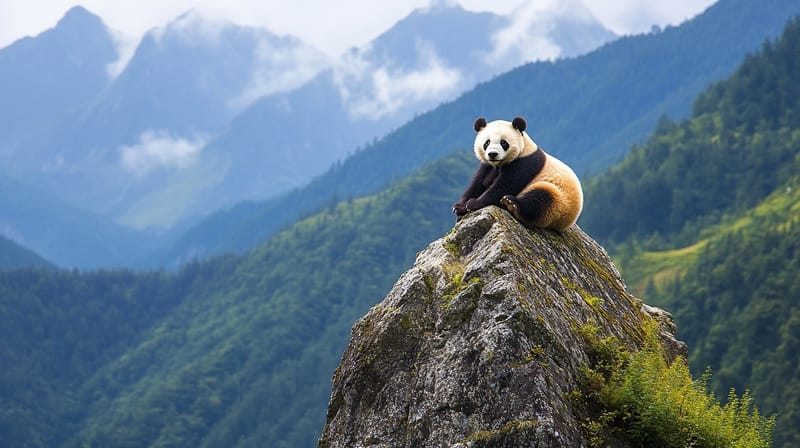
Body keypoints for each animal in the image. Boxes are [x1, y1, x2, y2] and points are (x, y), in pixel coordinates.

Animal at [452, 116, 583, 232]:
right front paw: (459, 207)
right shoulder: (487, 166)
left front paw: (473, 204)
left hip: (560, 201)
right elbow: (477, 184)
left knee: (541, 199)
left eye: (503, 143)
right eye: (487, 142)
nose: (493, 154)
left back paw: (512, 204)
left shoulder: (525, 163)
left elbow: (506, 185)